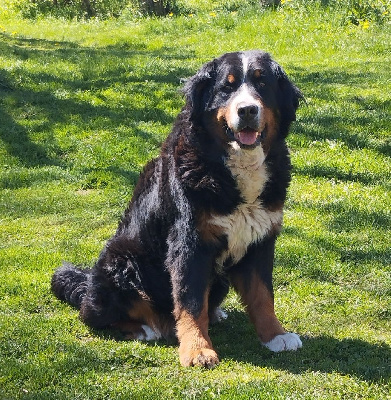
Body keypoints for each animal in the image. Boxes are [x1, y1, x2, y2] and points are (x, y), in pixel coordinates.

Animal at [52, 50, 304, 368]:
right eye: (227, 87)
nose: (247, 110)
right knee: (95, 314)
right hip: (123, 261)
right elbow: (190, 301)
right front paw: (197, 349)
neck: (233, 168)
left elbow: (262, 295)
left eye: (262, 83)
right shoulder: (189, 242)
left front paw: (275, 335)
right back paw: (145, 328)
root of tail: (87, 282)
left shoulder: (260, 238)